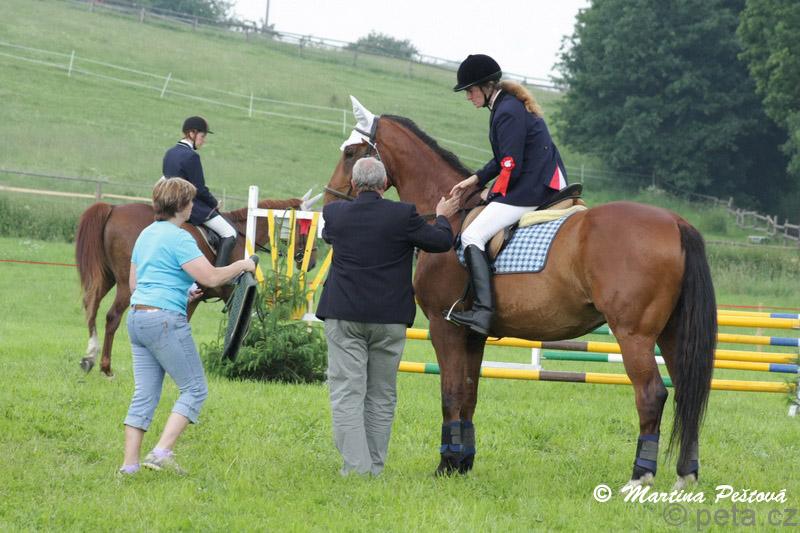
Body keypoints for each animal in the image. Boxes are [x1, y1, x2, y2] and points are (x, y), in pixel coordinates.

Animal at [75, 195, 319, 377]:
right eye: (307, 229)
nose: (312, 262)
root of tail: (114, 209)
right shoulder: (231, 294)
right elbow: (242, 324)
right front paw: (240, 359)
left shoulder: (193, 296)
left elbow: (184, 323)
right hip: (127, 285)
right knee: (112, 316)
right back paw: (106, 367)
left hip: (106, 277)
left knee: (91, 306)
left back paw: (89, 358)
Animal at [324, 99, 717, 489]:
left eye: (350, 153)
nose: (329, 207)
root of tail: (676, 222)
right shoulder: (472, 334)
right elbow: (468, 393)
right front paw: (463, 462)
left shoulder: (443, 326)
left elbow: (450, 393)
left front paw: (446, 465)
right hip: (671, 332)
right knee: (687, 391)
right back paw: (685, 474)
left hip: (633, 334)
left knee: (652, 393)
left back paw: (640, 476)